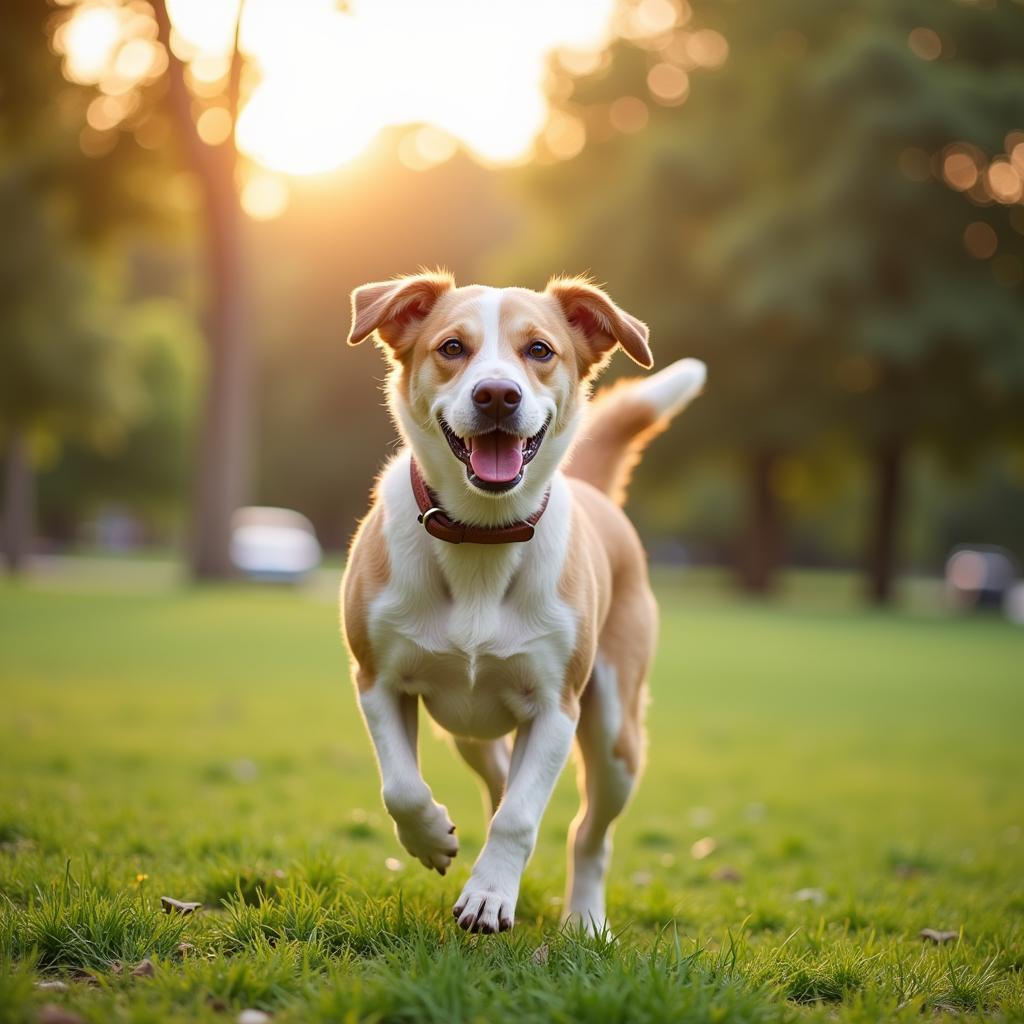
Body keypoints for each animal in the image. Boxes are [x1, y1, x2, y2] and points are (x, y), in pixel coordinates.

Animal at [342, 272, 704, 937]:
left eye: (539, 350)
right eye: (452, 347)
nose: (496, 396)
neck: (483, 534)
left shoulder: (556, 707)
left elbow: (519, 817)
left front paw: (489, 895)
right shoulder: (377, 678)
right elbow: (401, 788)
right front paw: (432, 839)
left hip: (616, 735)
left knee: (588, 832)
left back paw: (584, 918)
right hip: (467, 730)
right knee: (499, 775)